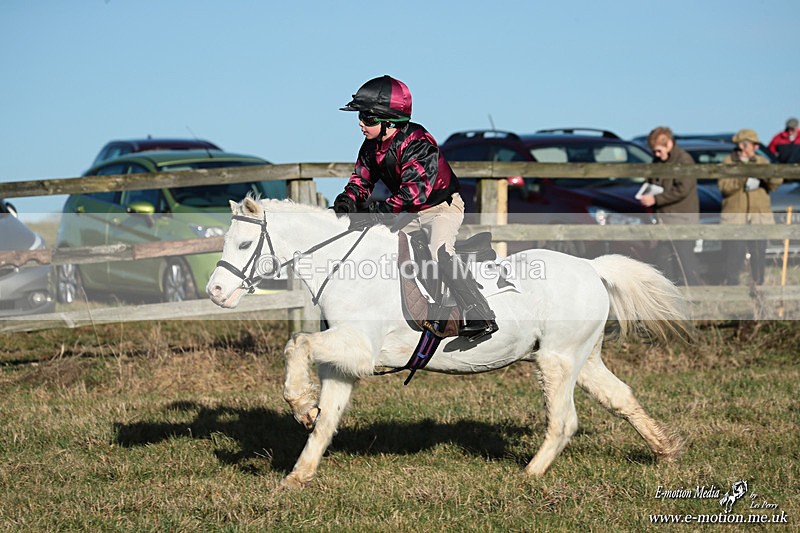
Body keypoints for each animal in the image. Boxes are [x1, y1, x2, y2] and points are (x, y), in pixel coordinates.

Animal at [207, 195, 689, 489]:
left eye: (245, 243)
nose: (215, 292)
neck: (345, 264)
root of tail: (591, 267)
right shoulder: (344, 361)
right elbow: (326, 420)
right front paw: (299, 470)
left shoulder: (358, 348)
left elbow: (297, 344)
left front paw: (301, 404)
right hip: (583, 359)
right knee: (621, 398)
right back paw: (666, 451)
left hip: (557, 360)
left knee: (564, 421)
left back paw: (529, 475)